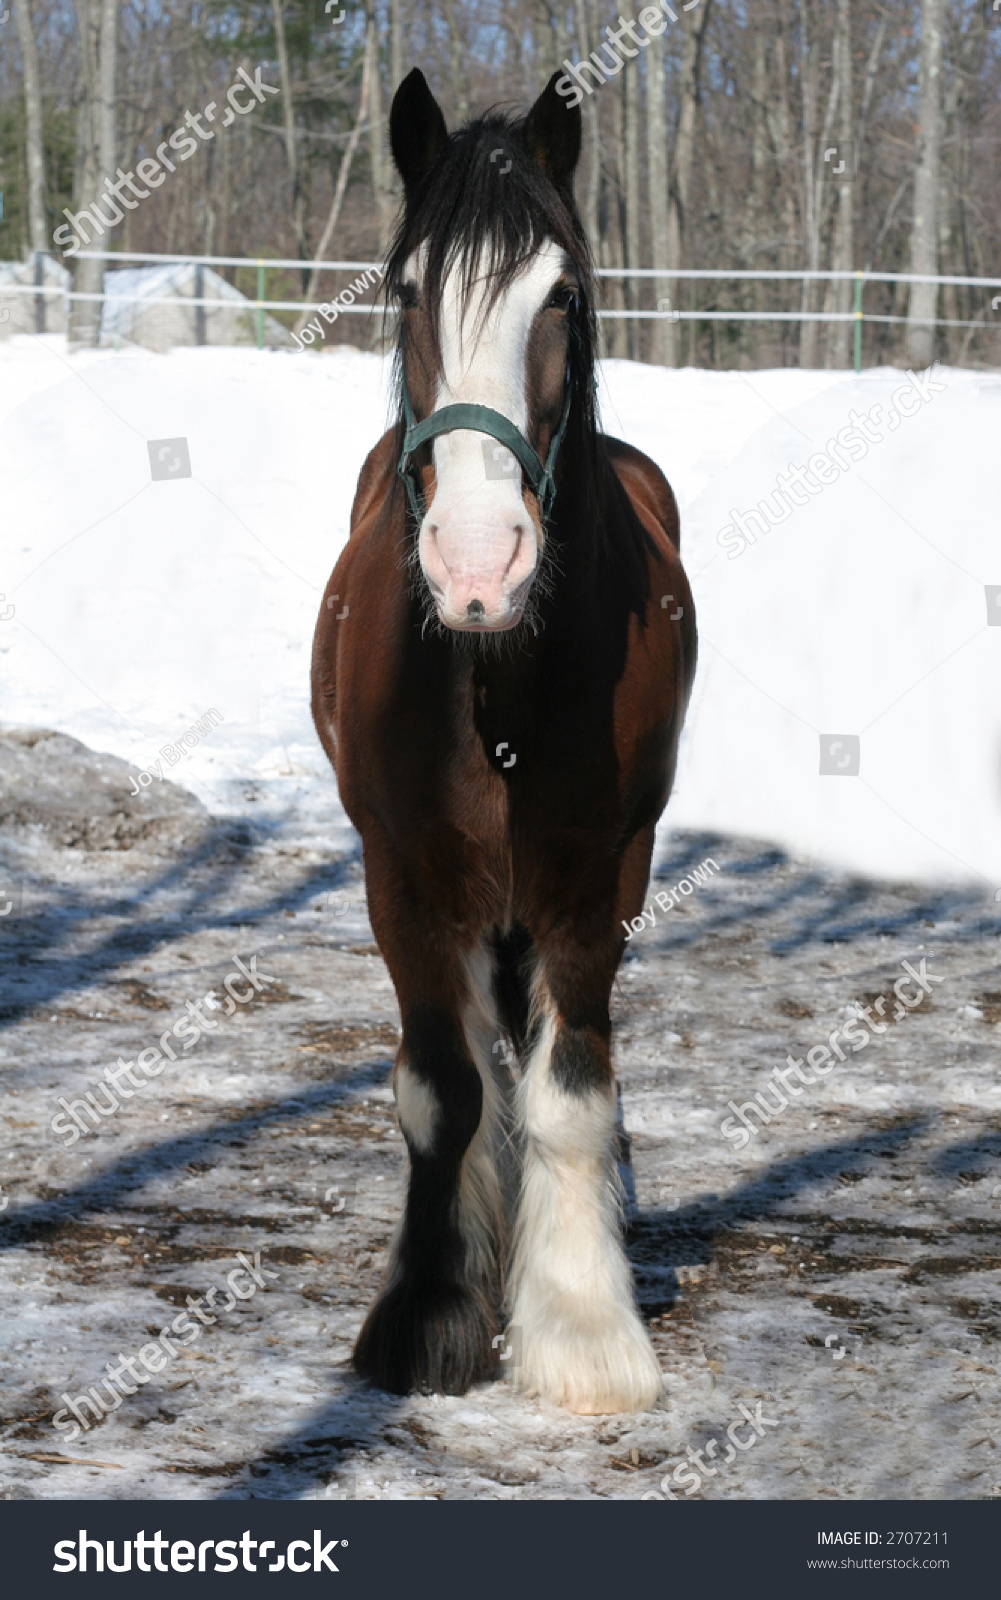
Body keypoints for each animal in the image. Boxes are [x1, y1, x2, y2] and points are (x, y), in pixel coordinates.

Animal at [311, 68, 693, 1414]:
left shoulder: (600, 872)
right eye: (405, 289)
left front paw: (581, 1329)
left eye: (561, 296)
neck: (495, 675)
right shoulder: (401, 872)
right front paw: (427, 1313)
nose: (478, 567)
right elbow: (443, 1089)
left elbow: (569, 1087)